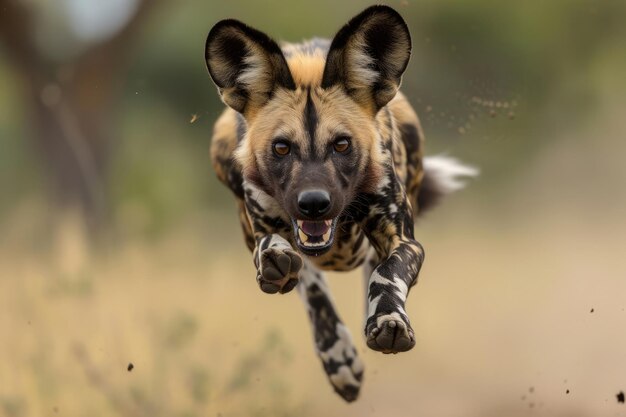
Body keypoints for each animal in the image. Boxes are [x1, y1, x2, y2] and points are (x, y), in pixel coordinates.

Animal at [205, 4, 472, 400]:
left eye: (342, 145)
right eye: (281, 148)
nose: (314, 203)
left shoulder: (404, 240)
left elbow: (388, 272)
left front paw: (388, 319)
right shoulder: (262, 232)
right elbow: (295, 273)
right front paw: (338, 356)